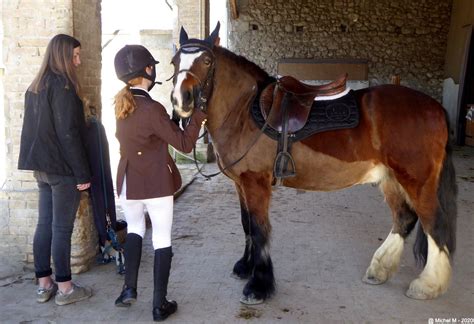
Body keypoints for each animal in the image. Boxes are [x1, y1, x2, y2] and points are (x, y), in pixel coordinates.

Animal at [169, 22, 456, 304]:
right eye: (174, 61)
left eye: (207, 60)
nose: (181, 100)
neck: (243, 112)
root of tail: (435, 108)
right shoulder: (240, 184)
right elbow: (246, 224)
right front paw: (245, 267)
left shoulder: (255, 182)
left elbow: (260, 229)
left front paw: (259, 285)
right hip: (390, 179)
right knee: (404, 218)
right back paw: (380, 269)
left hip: (417, 181)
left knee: (433, 224)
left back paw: (427, 285)